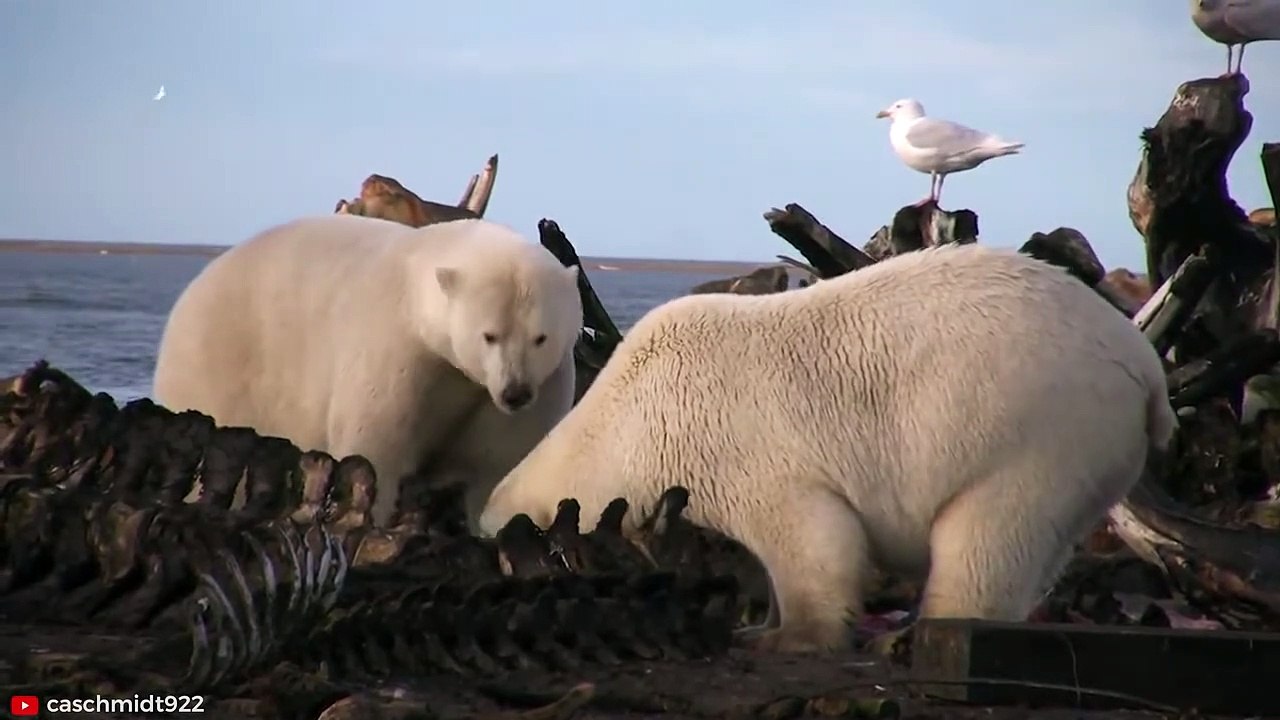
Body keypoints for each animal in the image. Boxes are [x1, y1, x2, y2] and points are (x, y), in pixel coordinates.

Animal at [152, 214, 583, 529]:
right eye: (489, 335)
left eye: (540, 337)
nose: (516, 392)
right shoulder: (395, 346)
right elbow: (375, 443)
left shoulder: (521, 388)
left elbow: (492, 461)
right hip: (217, 365)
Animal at [479, 242, 1177, 653]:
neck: (627, 414)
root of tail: (1143, 363)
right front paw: (758, 619)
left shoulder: (729, 439)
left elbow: (811, 534)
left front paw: (788, 636)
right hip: (1084, 448)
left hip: (1035, 425)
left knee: (985, 533)